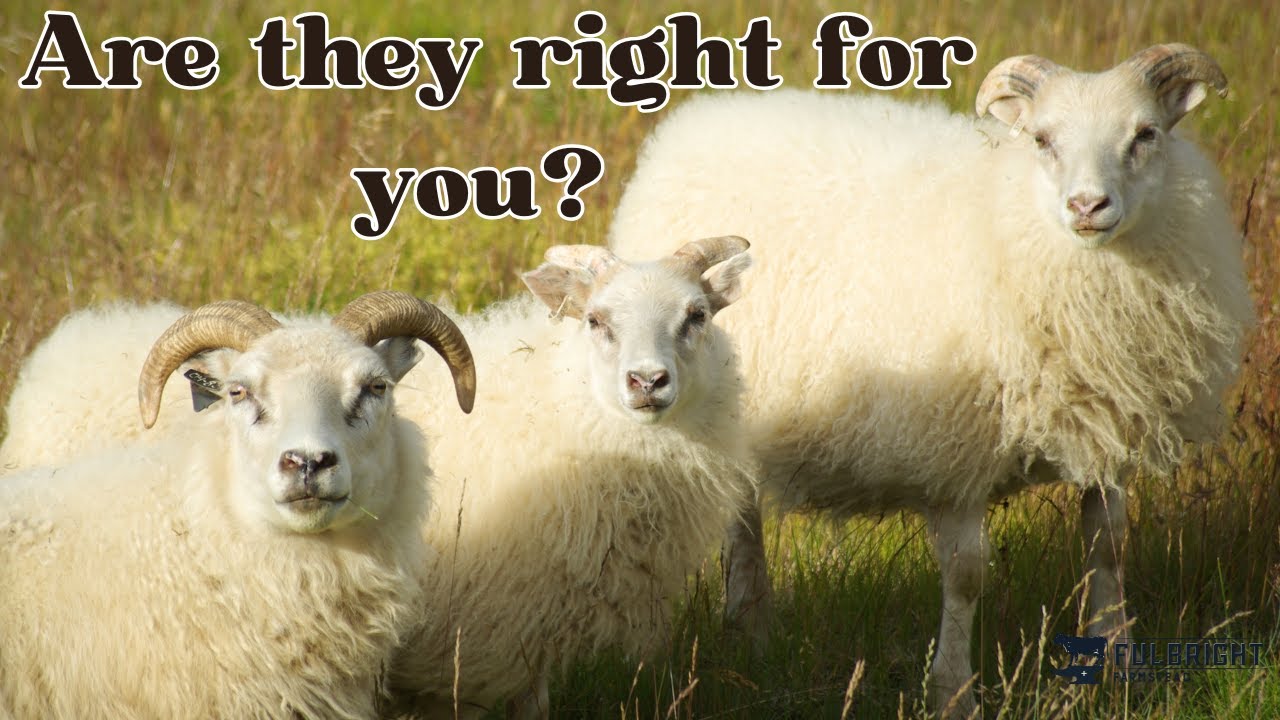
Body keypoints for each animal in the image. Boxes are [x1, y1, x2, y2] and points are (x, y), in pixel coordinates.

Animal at [607, 44, 1254, 713]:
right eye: (1043, 139)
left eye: (1146, 134)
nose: (1087, 207)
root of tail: (702, 118)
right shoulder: (958, 444)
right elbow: (966, 574)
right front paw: (953, 693)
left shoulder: (1106, 429)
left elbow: (1108, 542)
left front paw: (1117, 662)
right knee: (740, 512)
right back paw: (753, 623)